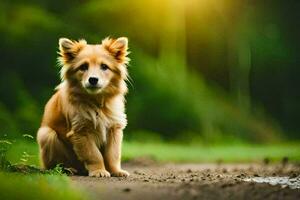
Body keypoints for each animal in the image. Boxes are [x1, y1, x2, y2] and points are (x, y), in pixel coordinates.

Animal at [36, 36, 129, 177]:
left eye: (104, 67)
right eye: (83, 67)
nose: (93, 80)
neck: (96, 102)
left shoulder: (114, 128)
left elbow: (113, 154)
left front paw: (116, 171)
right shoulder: (81, 131)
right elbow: (93, 155)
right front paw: (99, 171)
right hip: (46, 135)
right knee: (54, 165)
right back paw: (69, 170)